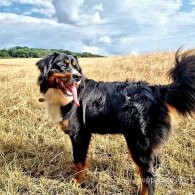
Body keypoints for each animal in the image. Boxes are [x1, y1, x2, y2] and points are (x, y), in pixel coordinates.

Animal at [35, 49, 195, 194]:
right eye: (63, 65)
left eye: (76, 67)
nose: (78, 77)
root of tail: (155, 89)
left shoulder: (80, 135)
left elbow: (78, 162)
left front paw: (76, 182)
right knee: (154, 165)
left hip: (138, 143)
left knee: (148, 174)